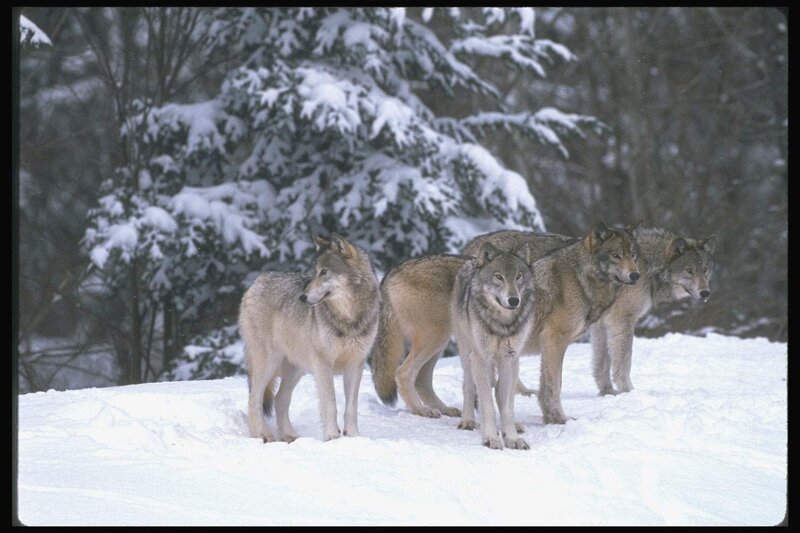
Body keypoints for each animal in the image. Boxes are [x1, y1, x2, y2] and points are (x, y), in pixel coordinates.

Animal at [239, 233, 380, 442]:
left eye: (324, 272)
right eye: (314, 272)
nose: (302, 297)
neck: (348, 318)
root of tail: (256, 283)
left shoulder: (356, 364)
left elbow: (351, 407)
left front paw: (354, 437)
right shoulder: (323, 364)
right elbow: (330, 404)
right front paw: (332, 437)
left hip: (296, 368)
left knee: (280, 399)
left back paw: (289, 436)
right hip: (269, 362)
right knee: (254, 399)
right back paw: (263, 435)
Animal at [451, 242, 535, 449]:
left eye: (518, 276)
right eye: (499, 276)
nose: (514, 300)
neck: (502, 324)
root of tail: (472, 261)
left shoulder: (509, 358)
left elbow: (507, 406)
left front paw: (511, 437)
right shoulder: (481, 358)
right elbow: (487, 404)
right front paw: (490, 437)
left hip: (512, 363)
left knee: (499, 390)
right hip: (468, 355)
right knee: (469, 386)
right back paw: (468, 421)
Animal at [591, 228, 716, 395]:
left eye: (705, 270)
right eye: (689, 271)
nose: (705, 293)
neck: (649, 269)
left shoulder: (601, 324)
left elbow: (601, 363)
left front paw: (608, 393)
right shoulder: (622, 320)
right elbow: (624, 361)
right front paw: (629, 391)